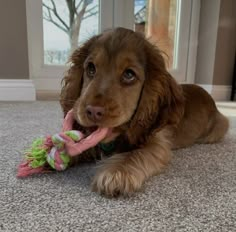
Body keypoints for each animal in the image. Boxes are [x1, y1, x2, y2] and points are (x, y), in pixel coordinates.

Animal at [60, 27, 230, 198]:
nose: (93, 111)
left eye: (129, 74)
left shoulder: (157, 142)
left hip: (220, 127)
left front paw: (116, 173)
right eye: (91, 68)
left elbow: (135, 154)